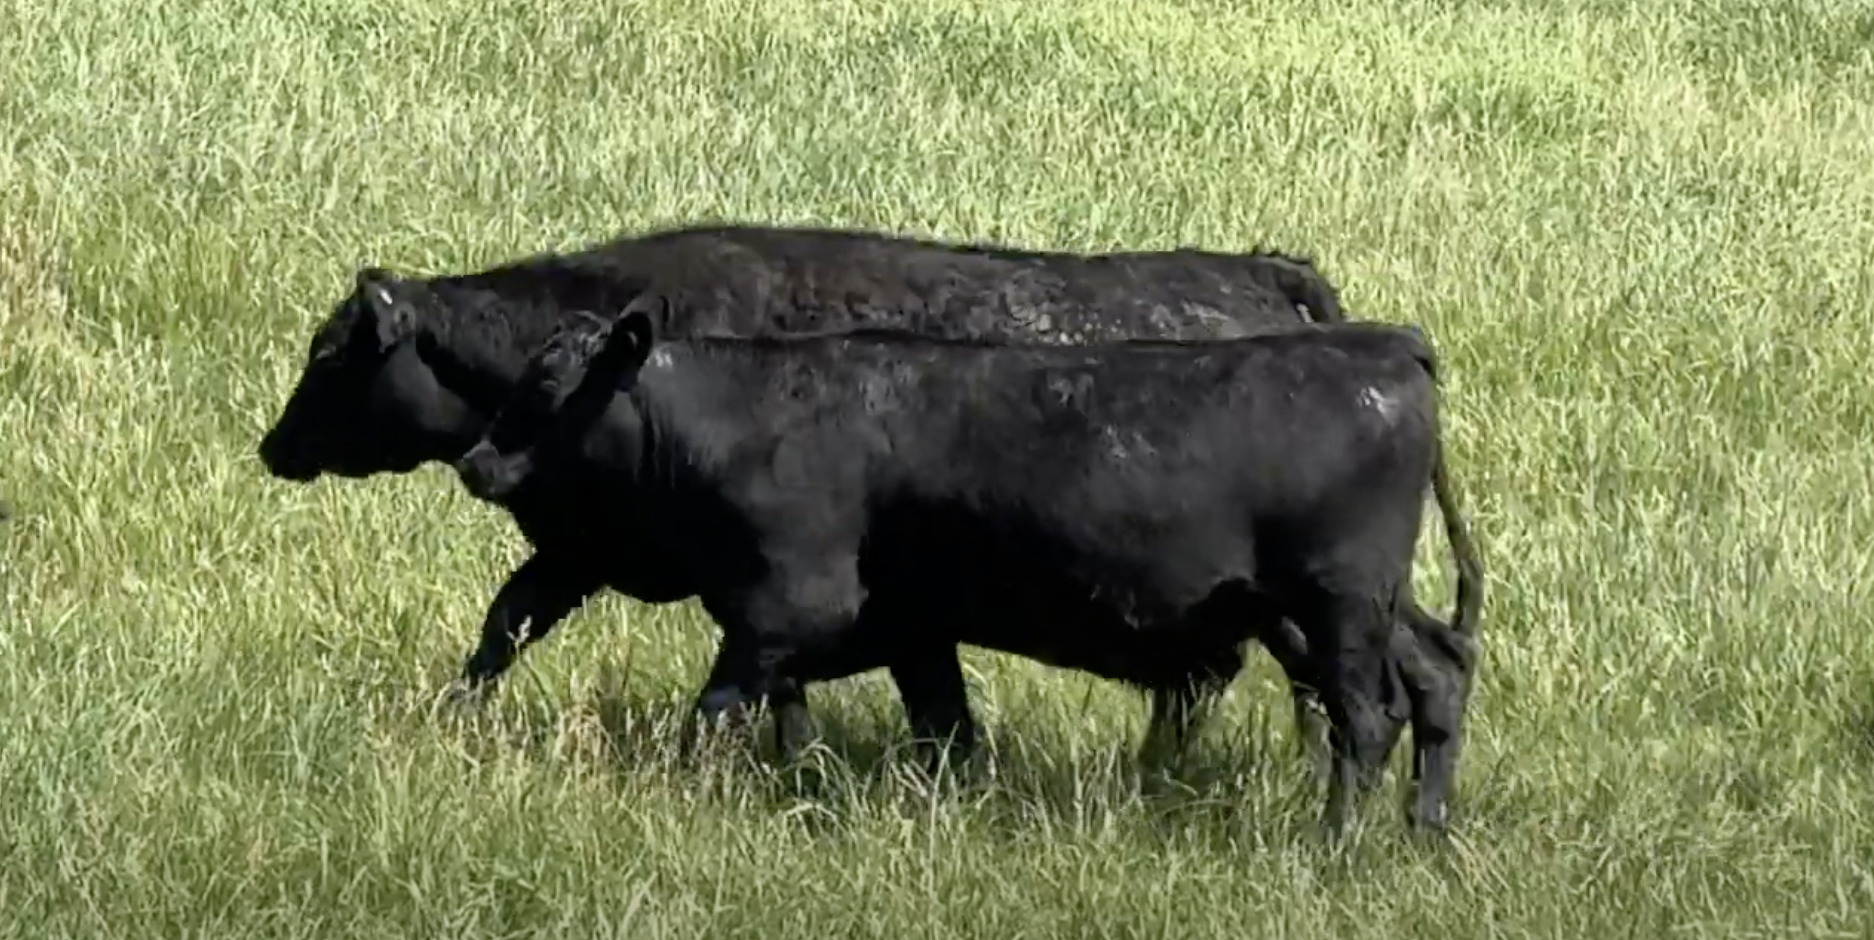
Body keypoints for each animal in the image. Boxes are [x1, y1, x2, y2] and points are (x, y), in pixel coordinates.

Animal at [254, 223, 1400, 763]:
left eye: (330, 354)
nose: (271, 448)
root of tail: (1260, 272)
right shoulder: (589, 551)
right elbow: (506, 625)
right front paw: (446, 718)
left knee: (1294, 687)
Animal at [450, 299, 1485, 836]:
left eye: (550, 386)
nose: (476, 461)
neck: (748, 419)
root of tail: (1385, 344)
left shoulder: (786, 607)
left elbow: (713, 716)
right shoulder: (908, 630)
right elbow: (937, 731)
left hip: (1339, 603)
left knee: (1368, 715)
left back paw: (1335, 841)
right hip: (1362, 606)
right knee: (1436, 676)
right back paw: (1422, 830)